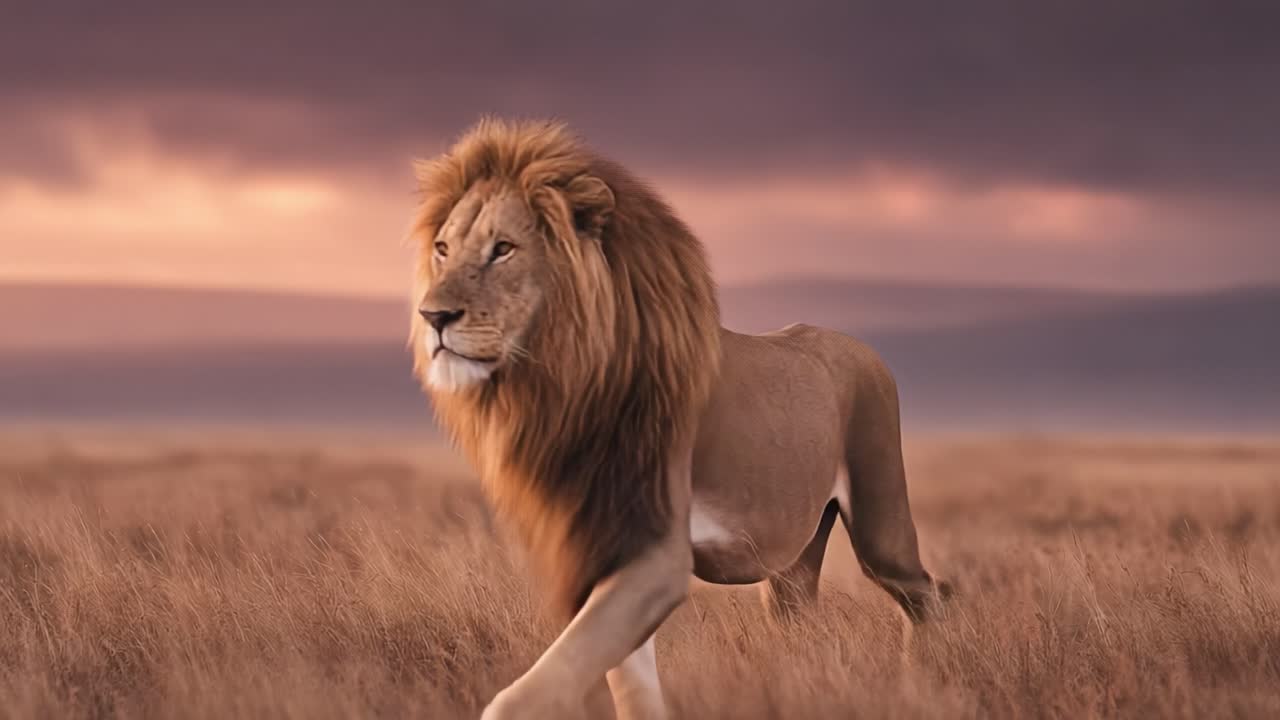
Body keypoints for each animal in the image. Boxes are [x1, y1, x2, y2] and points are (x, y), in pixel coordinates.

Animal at [409, 118, 951, 720]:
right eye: (442, 249)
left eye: (503, 249)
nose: (432, 316)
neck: (560, 388)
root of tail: (861, 346)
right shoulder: (604, 548)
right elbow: (631, 684)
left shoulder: (657, 554)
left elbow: (537, 687)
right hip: (793, 558)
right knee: (801, 617)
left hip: (881, 517)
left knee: (924, 590)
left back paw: (922, 680)